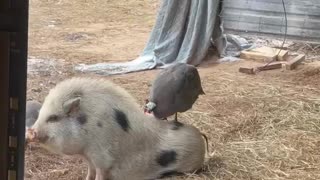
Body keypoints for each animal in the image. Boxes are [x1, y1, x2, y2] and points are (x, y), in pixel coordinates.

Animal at [25, 77, 205, 180]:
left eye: (53, 118)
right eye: (41, 113)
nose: (31, 131)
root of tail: (201, 139)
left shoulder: (102, 158)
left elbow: (100, 174)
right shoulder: (89, 157)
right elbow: (89, 171)